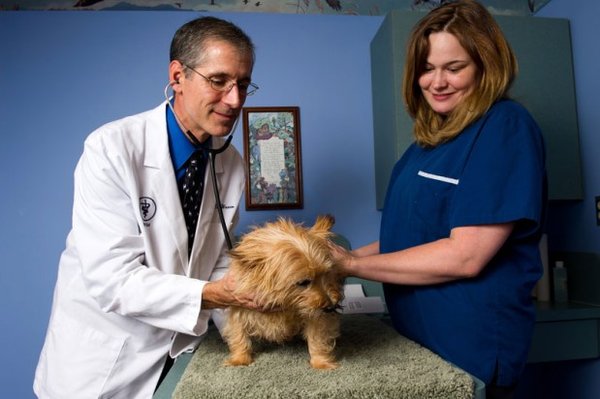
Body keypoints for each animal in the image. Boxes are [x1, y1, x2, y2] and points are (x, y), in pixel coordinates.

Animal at [223, 217, 344, 370]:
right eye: (303, 282)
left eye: (326, 274)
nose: (330, 307)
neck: (286, 303)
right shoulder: (239, 307)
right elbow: (239, 336)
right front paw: (240, 359)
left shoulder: (315, 314)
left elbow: (318, 338)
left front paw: (320, 362)